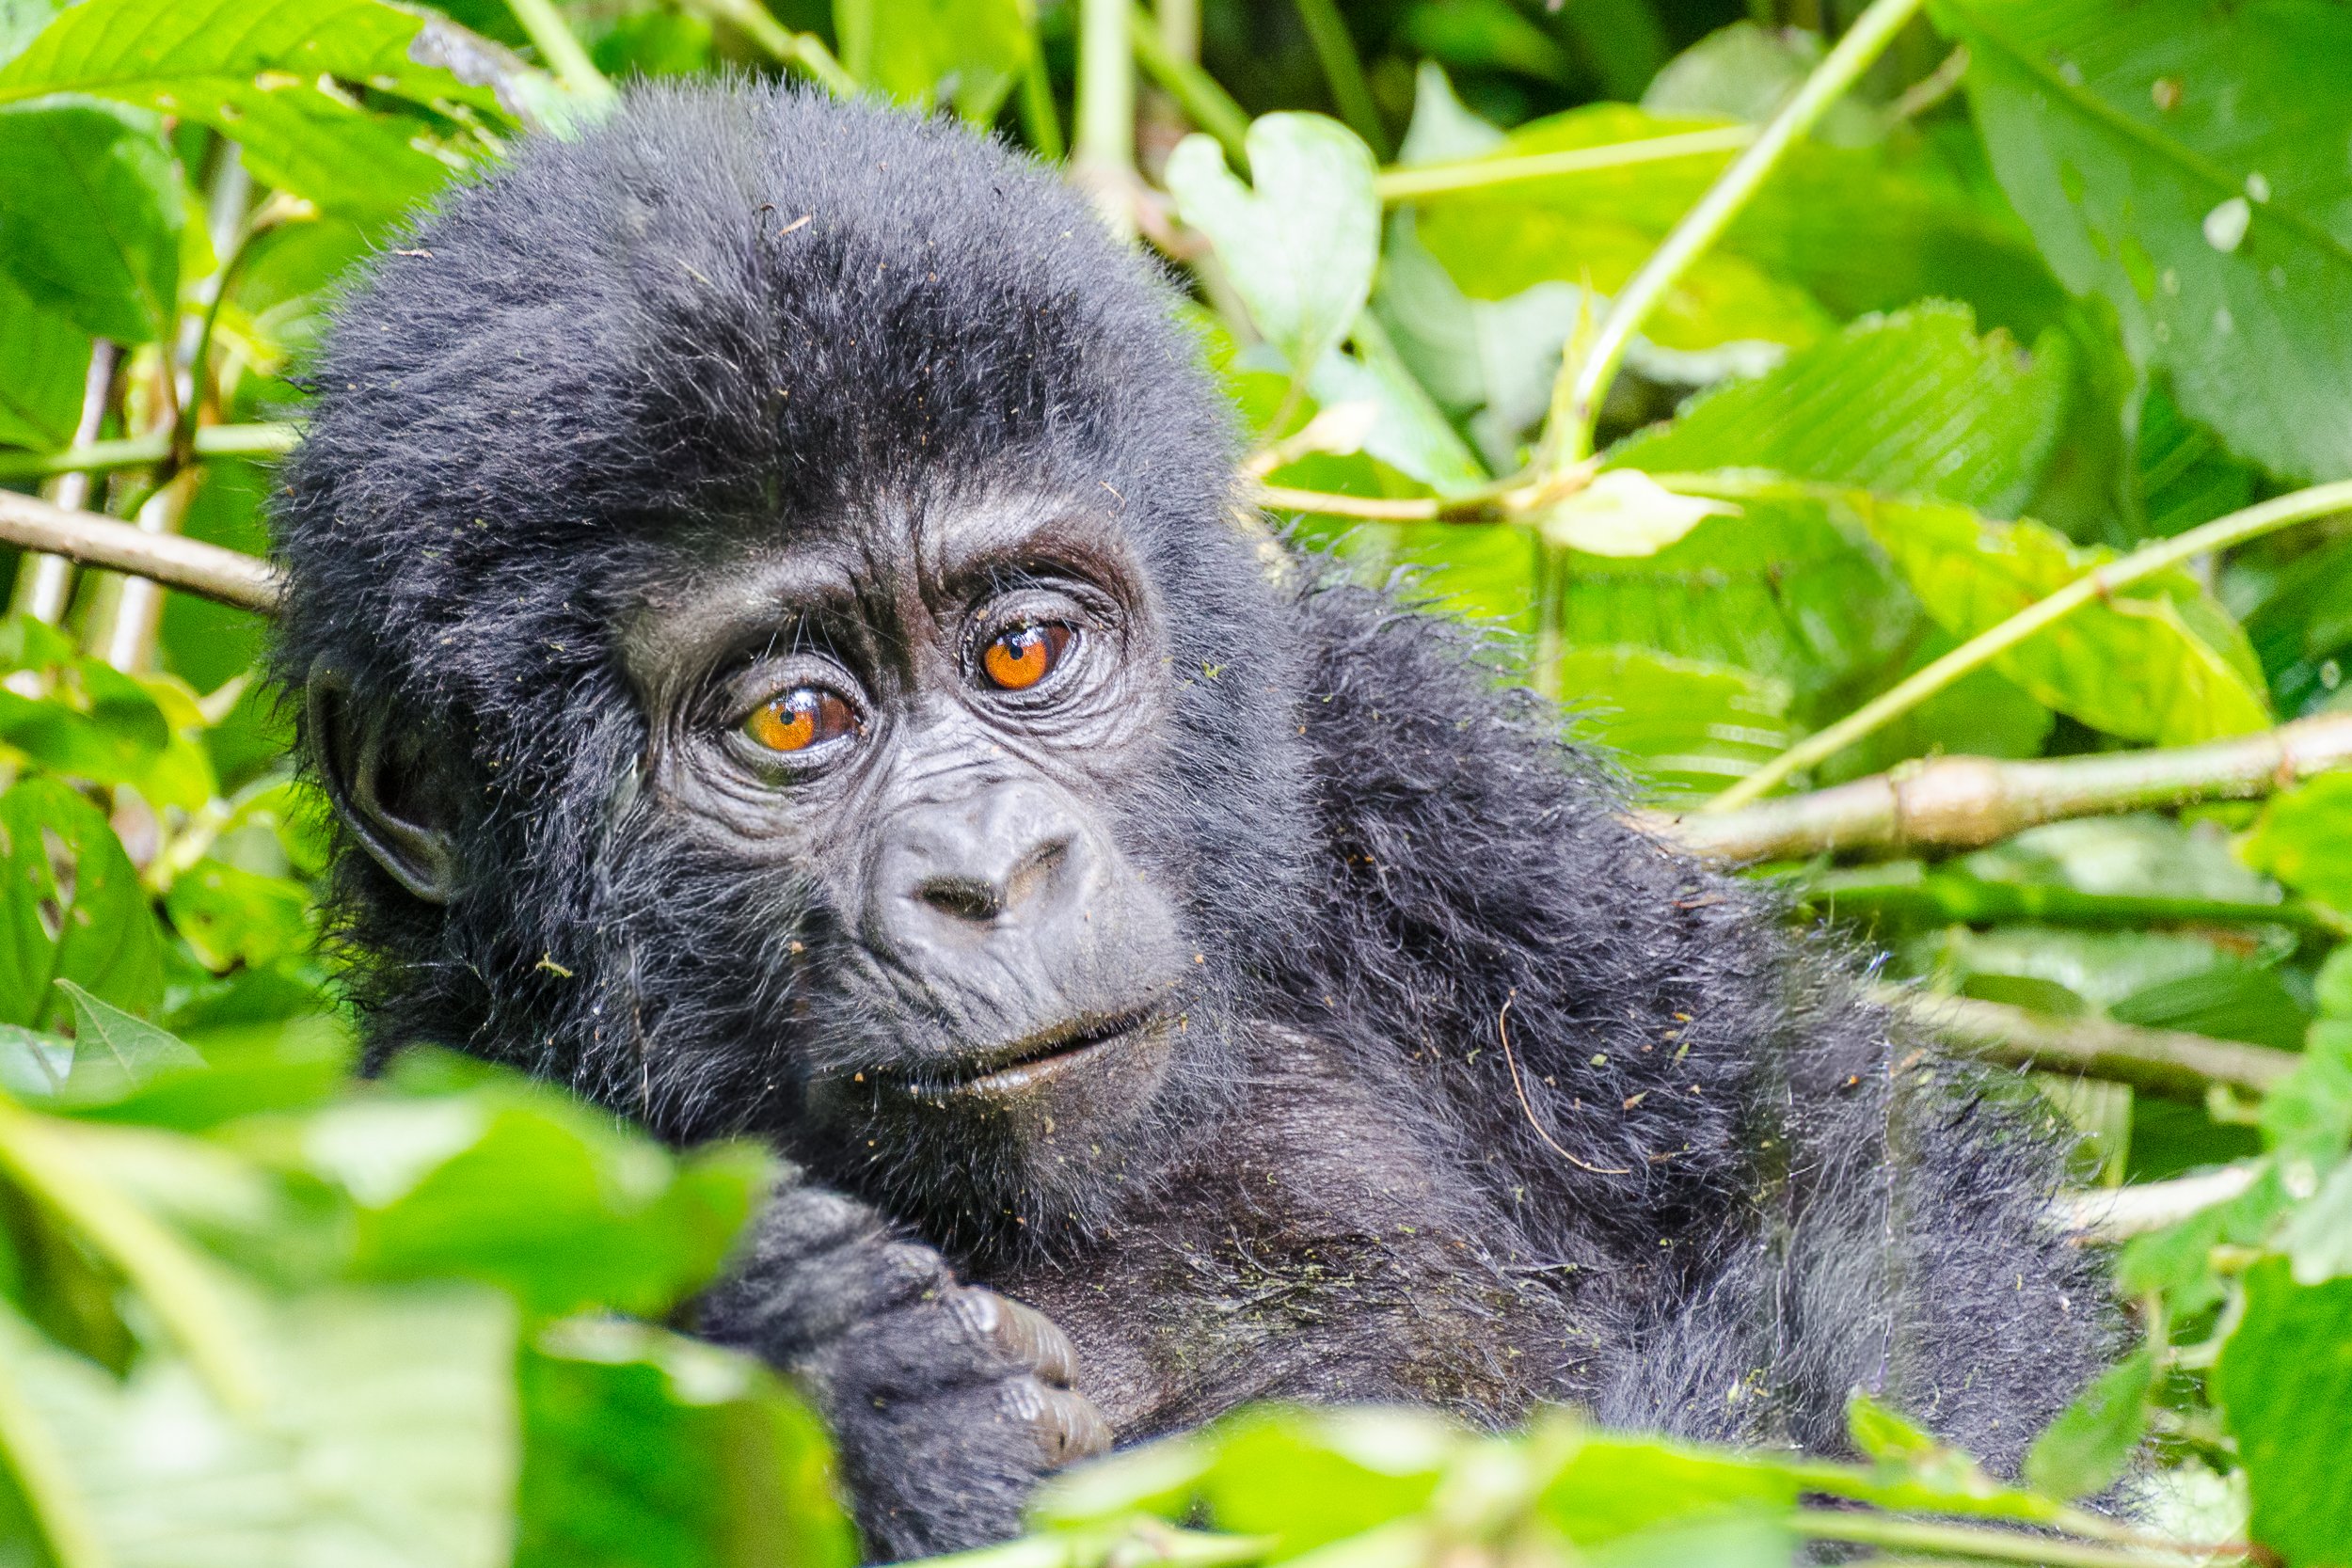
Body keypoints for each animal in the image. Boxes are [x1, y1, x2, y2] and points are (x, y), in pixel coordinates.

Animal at [272, 83, 2114, 1559]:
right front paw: (847, 1370)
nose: (990, 873)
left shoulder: (1399, 751)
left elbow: (1854, 1215)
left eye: (1021, 647)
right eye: (793, 719)